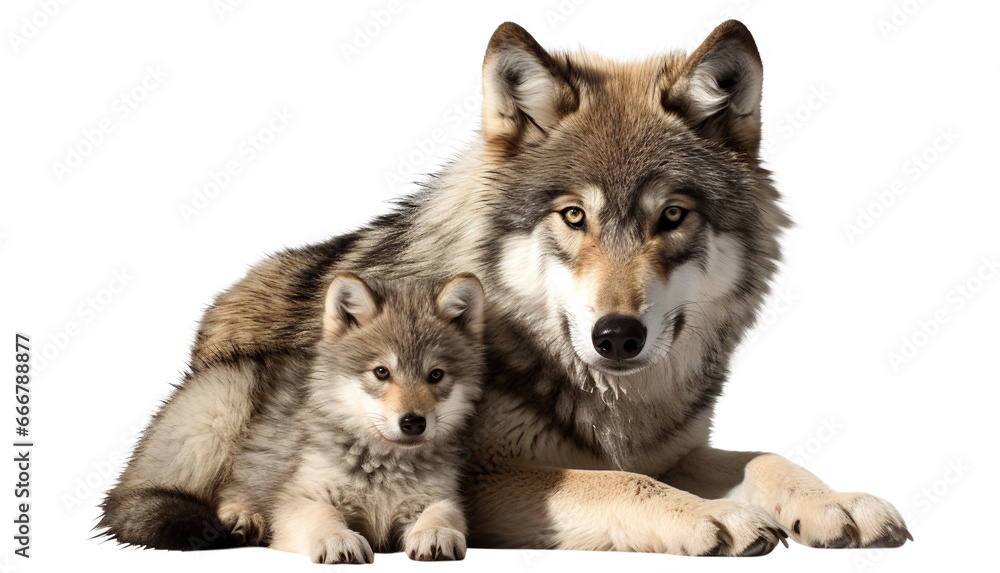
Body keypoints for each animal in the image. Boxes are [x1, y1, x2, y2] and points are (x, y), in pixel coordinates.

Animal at [213, 273, 485, 563]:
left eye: (436, 375)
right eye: (381, 372)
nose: (413, 423)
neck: (384, 466)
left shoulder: (435, 497)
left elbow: (443, 511)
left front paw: (435, 532)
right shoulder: (300, 498)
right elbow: (323, 513)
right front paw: (338, 539)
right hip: (224, 411)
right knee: (226, 489)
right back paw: (243, 517)